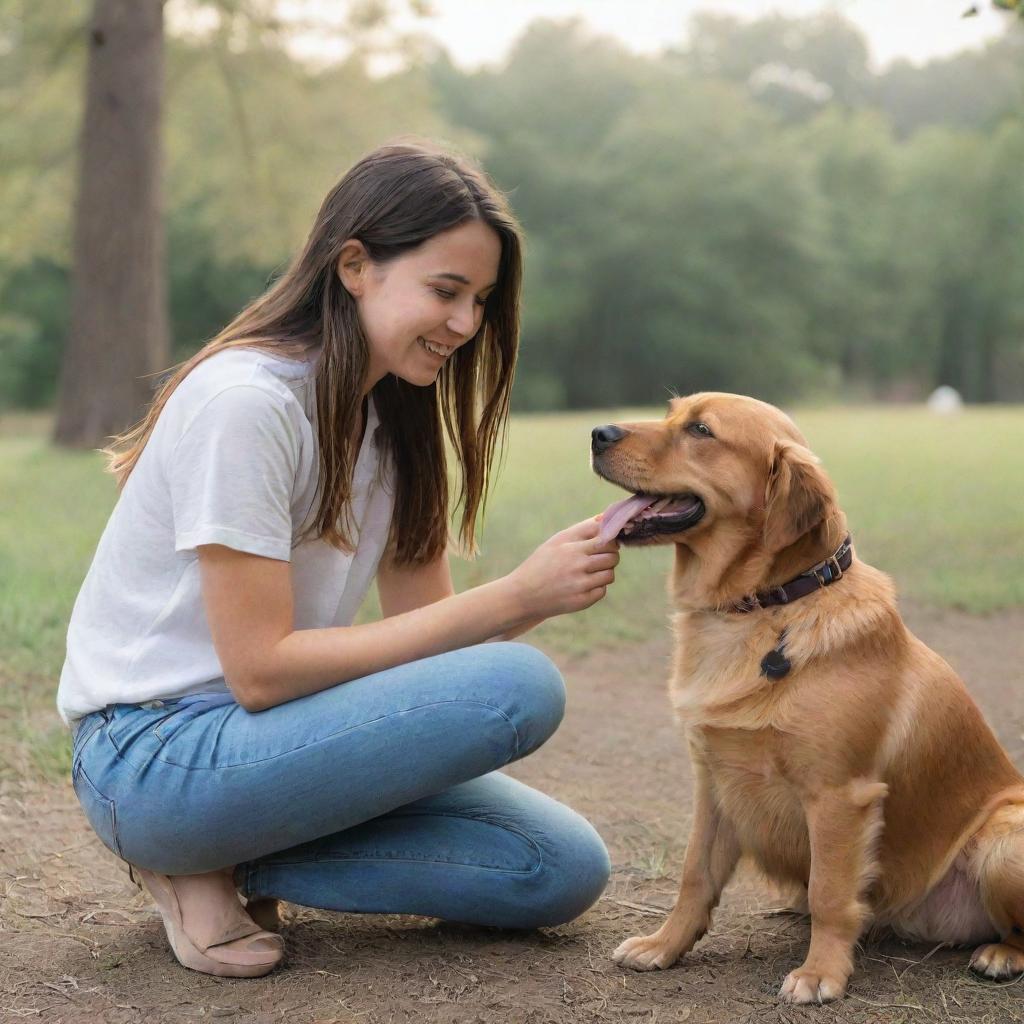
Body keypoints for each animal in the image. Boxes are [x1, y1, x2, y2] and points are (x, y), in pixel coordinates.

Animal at [593, 395, 1024, 1003]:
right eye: (672, 412)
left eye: (700, 430)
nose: (596, 433)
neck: (765, 604)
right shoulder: (714, 783)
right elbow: (695, 875)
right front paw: (664, 946)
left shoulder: (839, 796)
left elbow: (830, 894)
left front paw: (821, 972)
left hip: (1006, 841)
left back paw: (1001, 955)